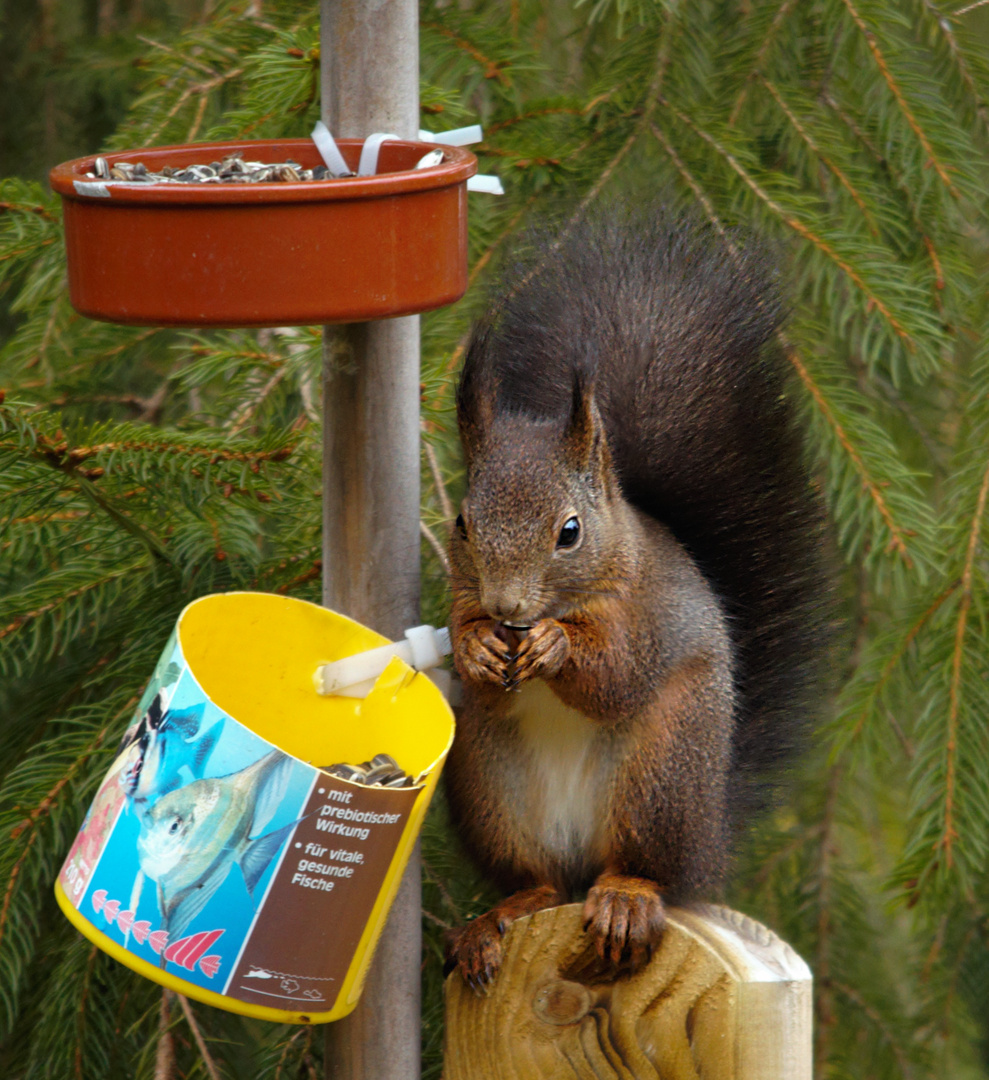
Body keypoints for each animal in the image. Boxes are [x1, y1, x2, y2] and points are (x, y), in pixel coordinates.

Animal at [444, 206, 829, 989]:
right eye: (462, 524)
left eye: (569, 531)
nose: (508, 609)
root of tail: (710, 837)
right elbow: (459, 638)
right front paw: (475, 647)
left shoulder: (645, 615)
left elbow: (616, 677)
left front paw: (557, 647)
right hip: (488, 785)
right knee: (540, 882)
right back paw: (500, 917)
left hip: (661, 775)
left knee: (646, 868)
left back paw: (627, 897)